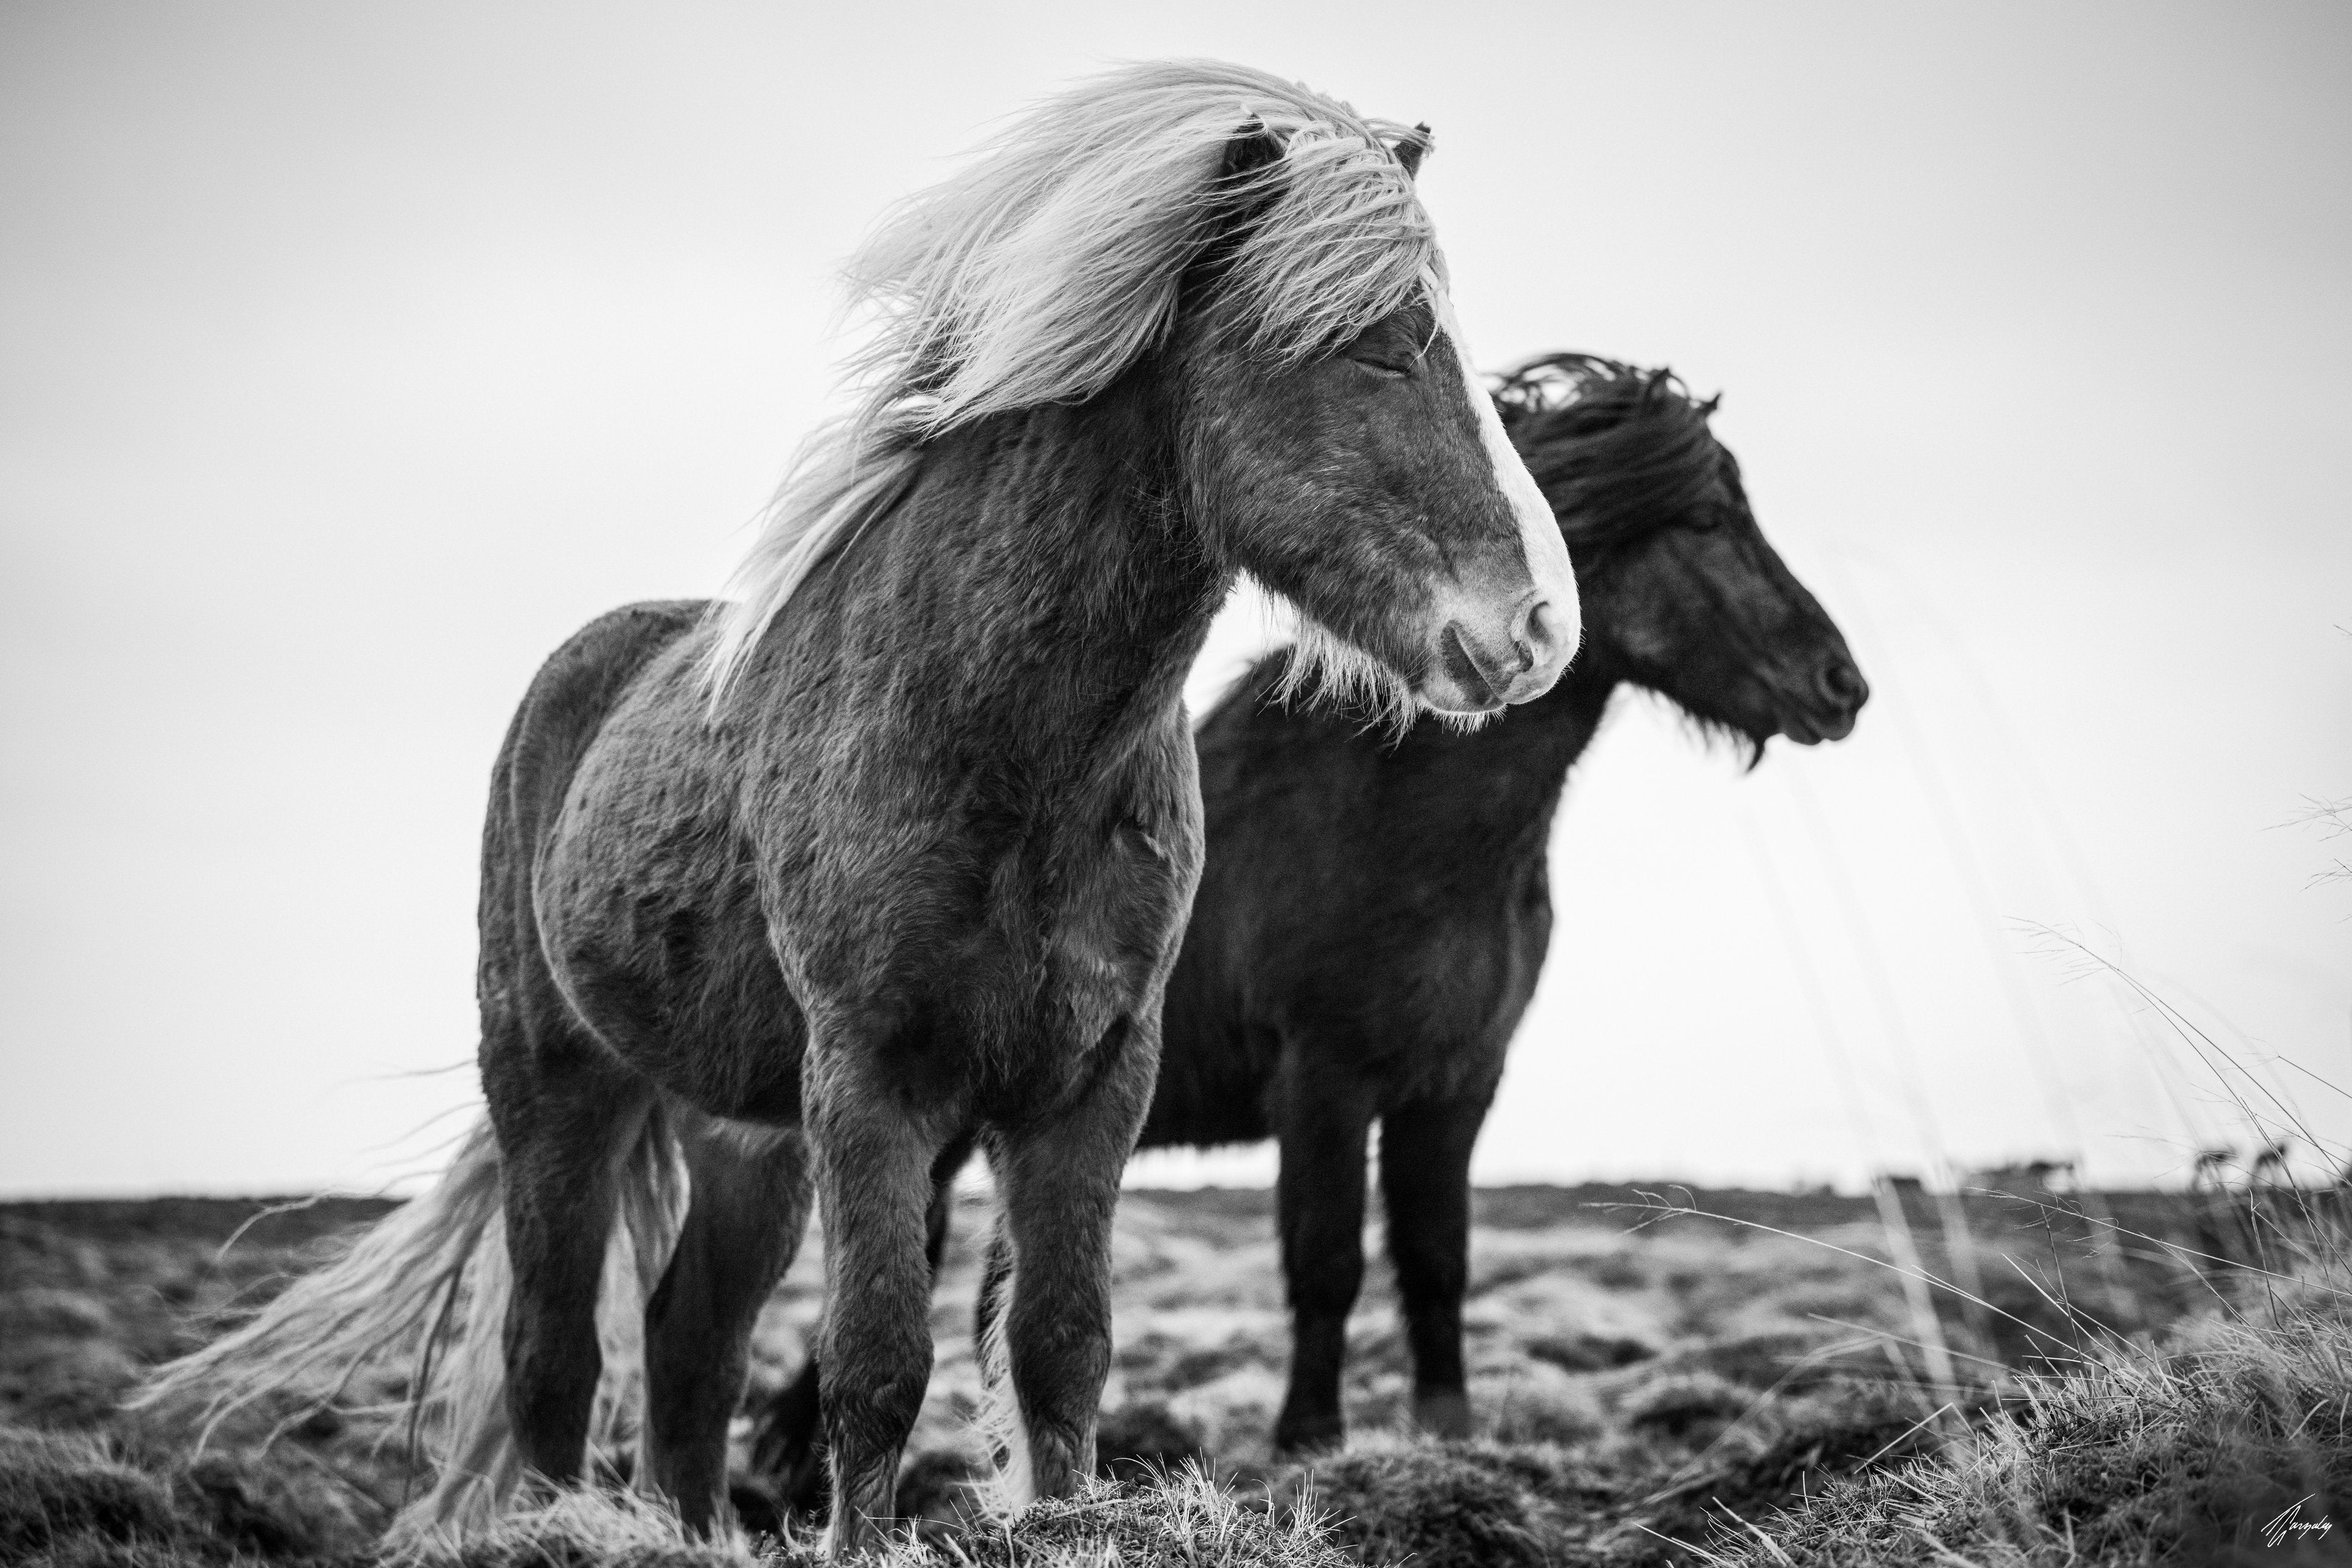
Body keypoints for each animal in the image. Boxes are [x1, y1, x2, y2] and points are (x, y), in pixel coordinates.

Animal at [136, 62, 1580, 1557]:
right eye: (1380, 347)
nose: (1537, 628)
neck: (1002, 750)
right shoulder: (875, 1082)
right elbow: (877, 1362)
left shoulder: (1092, 1085)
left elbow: (1061, 1344)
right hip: (560, 1090)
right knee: (555, 1352)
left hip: (746, 1137)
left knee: (691, 1347)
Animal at [751, 351, 1869, 1503]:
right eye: (1705, 520)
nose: (1843, 685)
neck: (1401, 831)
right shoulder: (1326, 1083)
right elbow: (1327, 1260)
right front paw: (1309, 1438)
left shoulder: (1456, 1086)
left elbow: (1436, 1260)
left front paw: (1447, 1432)